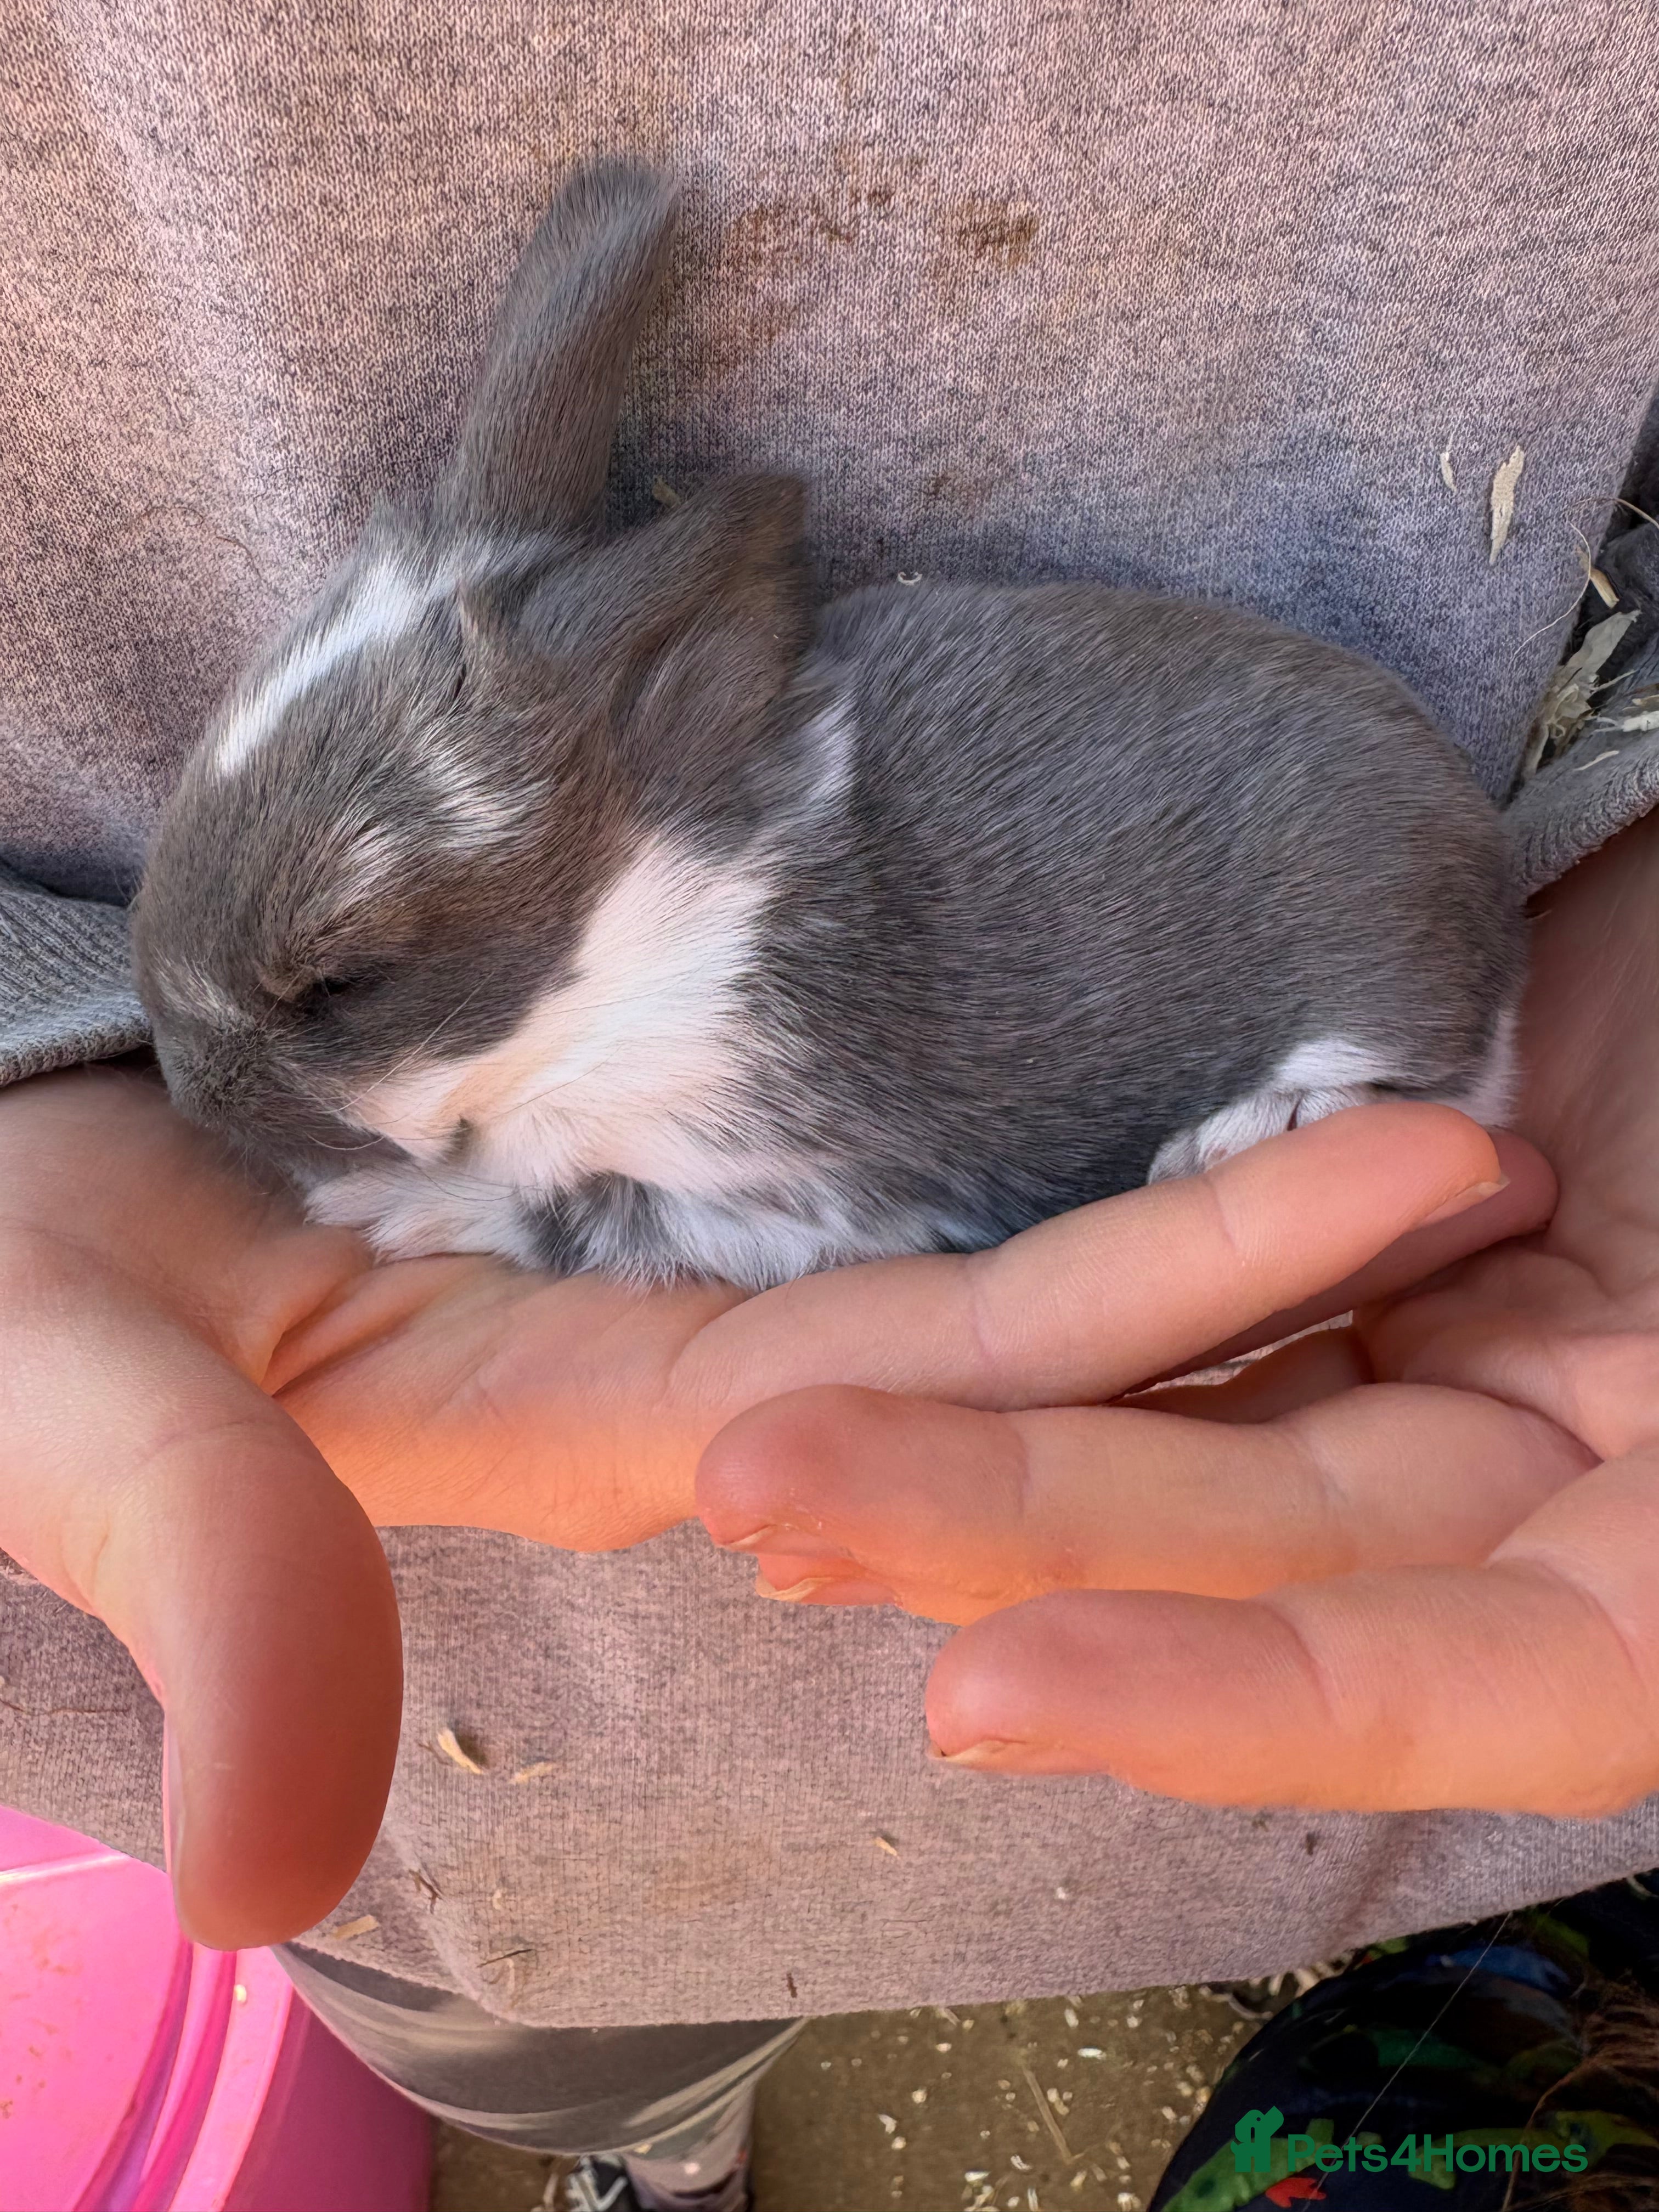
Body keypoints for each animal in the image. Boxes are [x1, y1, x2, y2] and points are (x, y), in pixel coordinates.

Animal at [132, 159, 1524, 1294]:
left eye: (341, 981)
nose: (190, 1095)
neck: (641, 960)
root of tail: (1478, 862)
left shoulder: (777, 1198)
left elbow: (575, 1221)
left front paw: (396, 1207)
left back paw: (1238, 1134)